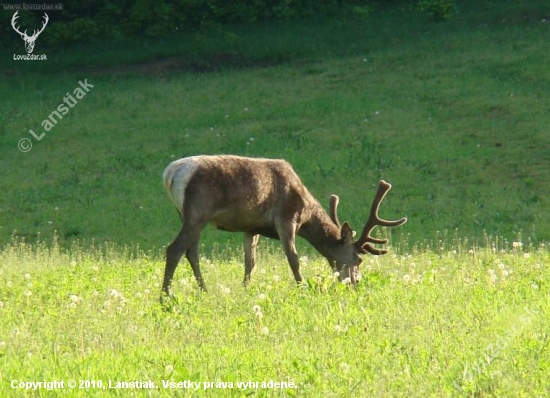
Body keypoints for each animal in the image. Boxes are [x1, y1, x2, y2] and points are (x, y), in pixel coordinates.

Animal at [162, 155, 408, 296]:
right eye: (358, 259)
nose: (355, 283)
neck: (306, 214)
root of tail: (170, 174)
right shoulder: (286, 219)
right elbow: (293, 259)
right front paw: (301, 288)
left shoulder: (251, 227)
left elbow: (250, 262)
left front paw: (246, 288)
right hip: (198, 211)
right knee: (174, 249)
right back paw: (165, 296)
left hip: (186, 215)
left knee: (191, 252)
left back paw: (204, 290)